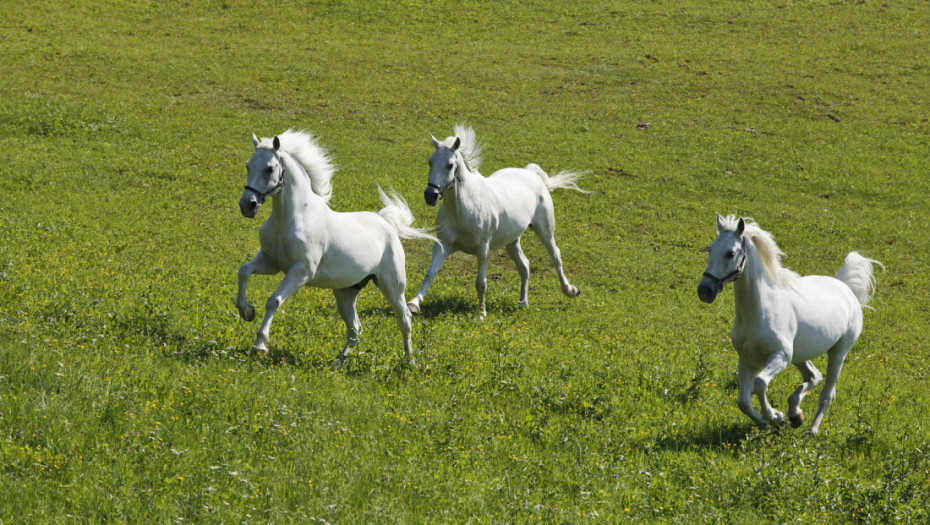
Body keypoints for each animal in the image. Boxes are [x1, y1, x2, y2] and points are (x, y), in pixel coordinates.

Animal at [234, 129, 434, 366]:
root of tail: (387, 224)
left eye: (269, 168)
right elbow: (244, 271)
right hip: (345, 293)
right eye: (248, 166)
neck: (290, 218)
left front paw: (260, 346)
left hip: (392, 287)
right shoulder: (270, 261)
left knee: (404, 319)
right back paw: (337, 364)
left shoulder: (301, 272)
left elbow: (273, 301)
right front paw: (246, 311)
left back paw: (409, 361)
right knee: (355, 329)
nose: (247, 205)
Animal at [404, 125, 580, 318]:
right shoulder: (443, 245)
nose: (431, 195)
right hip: (512, 241)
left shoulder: (483, 249)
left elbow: (481, 283)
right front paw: (413, 304)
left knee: (556, 256)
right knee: (525, 266)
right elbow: (430, 273)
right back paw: (523, 303)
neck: (462, 210)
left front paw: (481, 314)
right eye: (430, 162)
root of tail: (531, 173)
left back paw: (571, 290)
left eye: (450, 165)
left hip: (545, 231)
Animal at [700, 214, 880, 434]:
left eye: (730, 253)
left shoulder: (781, 356)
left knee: (827, 393)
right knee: (813, 376)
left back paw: (812, 430)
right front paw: (773, 421)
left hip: (838, 352)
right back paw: (795, 414)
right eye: (710, 249)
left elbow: (760, 384)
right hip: (799, 355)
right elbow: (743, 402)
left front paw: (775, 417)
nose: (705, 290)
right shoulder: (746, 359)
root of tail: (845, 288)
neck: (759, 310)